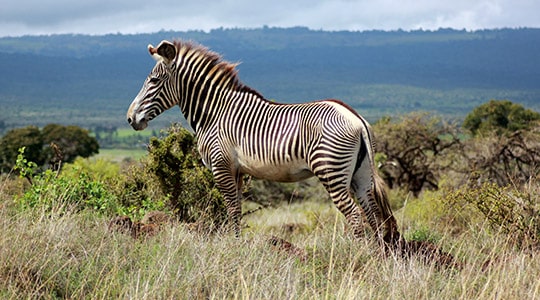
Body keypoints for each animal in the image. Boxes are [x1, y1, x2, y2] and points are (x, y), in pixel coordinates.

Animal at [127, 39, 404, 248]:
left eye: (153, 81)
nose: (130, 119)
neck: (215, 112)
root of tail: (355, 118)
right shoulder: (236, 170)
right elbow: (237, 209)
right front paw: (236, 244)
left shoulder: (221, 165)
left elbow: (232, 210)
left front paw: (233, 248)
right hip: (362, 174)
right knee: (373, 213)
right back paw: (377, 255)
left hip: (331, 171)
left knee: (356, 215)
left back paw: (358, 255)